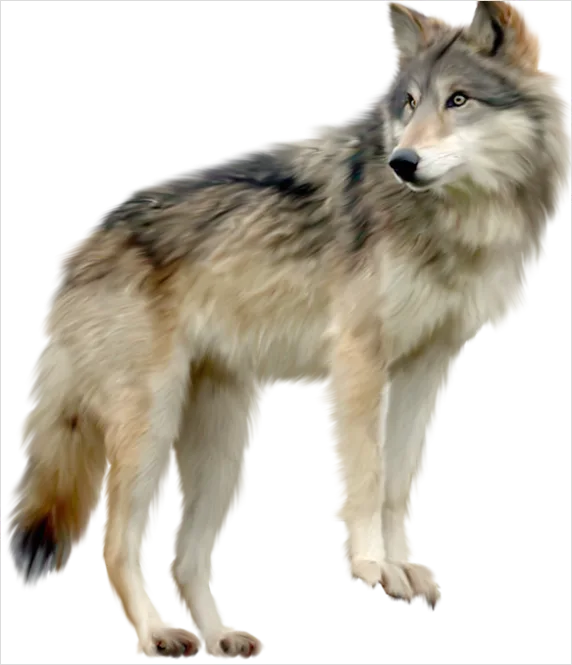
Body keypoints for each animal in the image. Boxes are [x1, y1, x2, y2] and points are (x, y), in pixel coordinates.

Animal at [5, 1, 570, 659]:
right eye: (409, 103)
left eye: (458, 100)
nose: (403, 163)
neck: (456, 219)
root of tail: (72, 252)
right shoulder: (359, 359)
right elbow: (366, 475)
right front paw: (373, 568)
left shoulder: (429, 366)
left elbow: (398, 481)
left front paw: (405, 570)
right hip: (149, 431)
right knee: (118, 542)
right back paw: (157, 635)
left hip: (227, 447)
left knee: (183, 559)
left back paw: (221, 637)